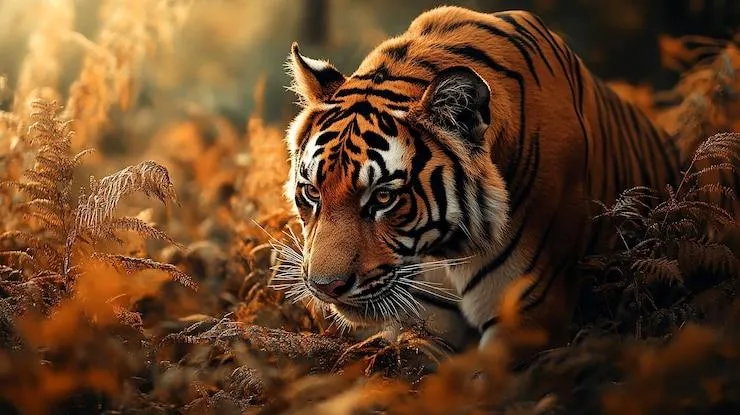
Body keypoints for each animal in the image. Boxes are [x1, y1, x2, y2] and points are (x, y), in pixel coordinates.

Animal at [277, 6, 687, 353]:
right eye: (312, 192)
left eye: (383, 197)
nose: (326, 287)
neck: (444, 249)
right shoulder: (427, 316)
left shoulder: (530, 312)